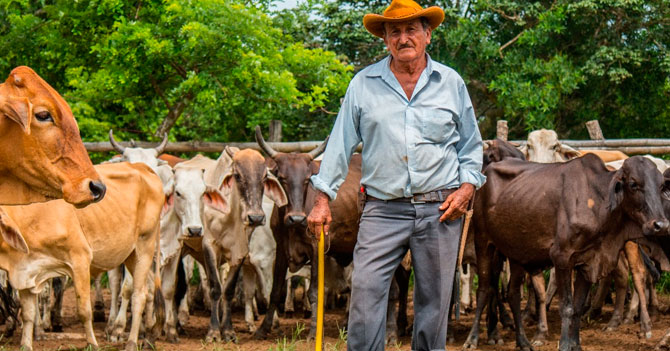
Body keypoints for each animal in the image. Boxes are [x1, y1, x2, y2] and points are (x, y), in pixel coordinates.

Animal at [0, 163, 171, 351]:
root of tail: (142, 167)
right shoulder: (27, 271)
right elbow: (28, 314)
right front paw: (26, 345)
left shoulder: (80, 260)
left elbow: (84, 311)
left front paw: (93, 344)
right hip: (131, 256)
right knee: (149, 291)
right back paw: (149, 336)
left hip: (144, 246)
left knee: (138, 296)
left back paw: (132, 342)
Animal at [476, 156, 668, 351]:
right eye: (633, 183)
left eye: (661, 185)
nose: (660, 225)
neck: (596, 202)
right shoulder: (562, 258)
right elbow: (567, 308)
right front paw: (564, 345)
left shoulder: (588, 262)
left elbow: (577, 307)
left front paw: (576, 345)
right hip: (484, 243)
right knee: (484, 289)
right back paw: (473, 339)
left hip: (515, 255)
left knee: (512, 294)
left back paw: (522, 342)